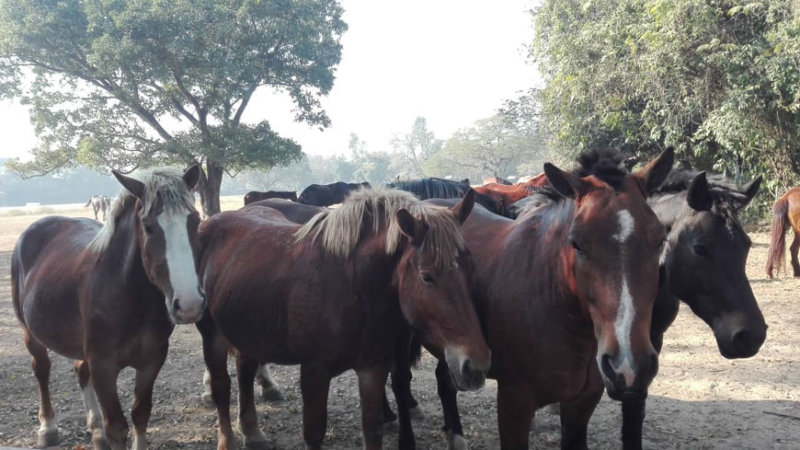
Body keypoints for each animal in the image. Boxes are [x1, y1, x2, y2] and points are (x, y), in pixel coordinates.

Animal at [11, 166, 205, 450]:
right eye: (148, 226)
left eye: (195, 221)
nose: (189, 304)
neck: (128, 295)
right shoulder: (103, 366)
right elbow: (118, 427)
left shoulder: (152, 360)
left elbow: (140, 414)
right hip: (30, 332)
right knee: (42, 370)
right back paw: (48, 427)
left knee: (80, 372)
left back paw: (96, 431)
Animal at [197, 187, 490, 450]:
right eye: (427, 277)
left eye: (471, 268)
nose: (475, 365)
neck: (351, 288)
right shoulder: (314, 372)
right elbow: (314, 433)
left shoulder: (373, 368)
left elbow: (372, 429)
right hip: (212, 334)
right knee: (222, 386)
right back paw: (228, 440)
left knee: (245, 372)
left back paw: (253, 432)